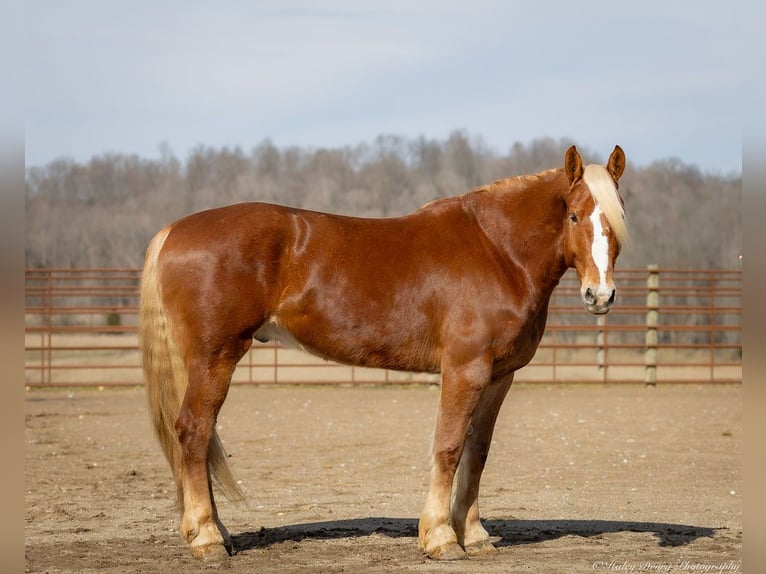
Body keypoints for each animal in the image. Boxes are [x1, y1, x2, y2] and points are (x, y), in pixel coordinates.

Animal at [140, 145, 632, 564]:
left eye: (618, 216)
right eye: (573, 215)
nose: (600, 296)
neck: (498, 251)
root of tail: (173, 231)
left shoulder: (498, 377)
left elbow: (477, 452)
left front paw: (475, 536)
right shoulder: (465, 370)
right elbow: (449, 447)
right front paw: (441, 538)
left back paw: (217, 533)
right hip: (215, 358)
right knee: (193, 432)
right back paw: (206, 538)